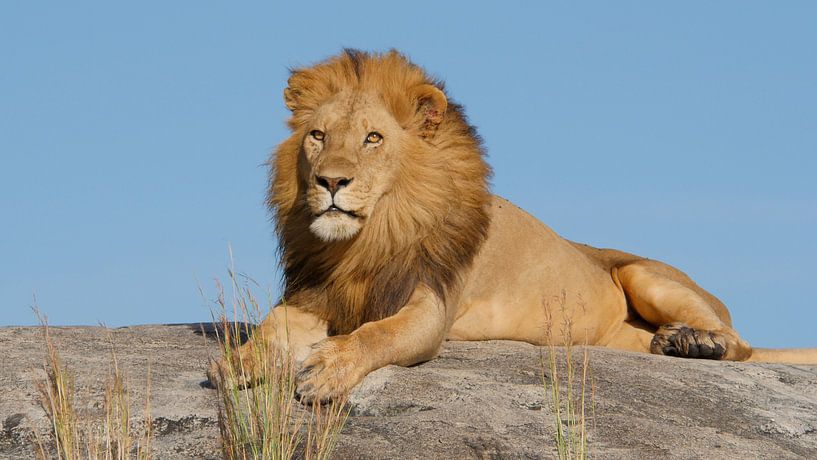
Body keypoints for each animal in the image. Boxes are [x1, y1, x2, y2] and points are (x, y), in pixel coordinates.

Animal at [210, 49, 817, 403]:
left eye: (372, 138)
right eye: (318, 135)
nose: (330, 181)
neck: (369, 238)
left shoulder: (430, 306)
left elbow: (376, 334)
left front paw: (327, 369)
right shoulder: (316, 293)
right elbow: (271, 327)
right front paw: (241, 362)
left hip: (647, 274)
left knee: (743, 346)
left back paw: (697, 342)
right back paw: (671, 344)